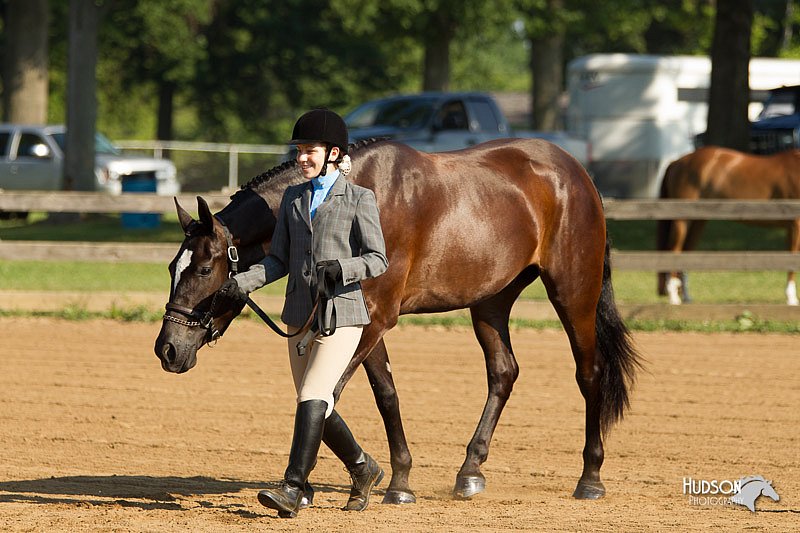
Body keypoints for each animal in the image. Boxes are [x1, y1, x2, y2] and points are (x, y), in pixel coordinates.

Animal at [155, 137, 644, 502]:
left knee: (589, 373)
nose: (168, 350)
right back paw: (470, 471)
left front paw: (325, 484)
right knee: (503, 372)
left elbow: (327, 396)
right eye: (172, 267)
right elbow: (381, 395)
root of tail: (576, 172)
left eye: (203, 270)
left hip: (573, 292)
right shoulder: (361, 323)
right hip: (491, 302)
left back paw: (590, 478)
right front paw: (396, 481)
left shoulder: (373, 321)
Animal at [656, 145, 800, 306]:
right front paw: (792, 299)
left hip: (698, 222)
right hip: (682, 221)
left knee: (684, 253)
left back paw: (686, 297)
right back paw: (674, 298)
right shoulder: (795, 224)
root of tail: (676, 162)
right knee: (674, 251)